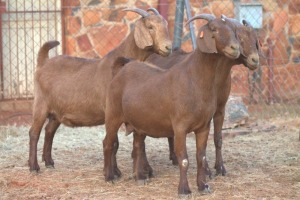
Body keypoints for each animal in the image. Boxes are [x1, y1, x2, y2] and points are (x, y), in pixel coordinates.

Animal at [29, 7, 172, 171]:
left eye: (166, 25)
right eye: (150, 27)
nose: (168, 47)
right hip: (40, 104)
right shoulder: (111, 111)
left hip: (56, 112)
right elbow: (114, 143)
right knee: (34, 133)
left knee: (49, 131)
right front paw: (114, 171)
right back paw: (34, 166)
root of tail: (43, 62)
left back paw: (49, 162)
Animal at [103, 14, 241, 195]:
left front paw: (203, 186)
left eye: (233, 29)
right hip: (113, 114)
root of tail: (121, 70)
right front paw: (184, 190)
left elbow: (201, 157)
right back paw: (109, 177)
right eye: (214, 29)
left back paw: (140, 177)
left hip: (139, 122)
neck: (194, 78)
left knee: (138, 146)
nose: (235, 48)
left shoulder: (204, 126)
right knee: (108, 142)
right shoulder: (180, 126)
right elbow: (183, 159)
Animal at [145, 14, 260, 177]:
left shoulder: (220, 109)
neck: (217, 78)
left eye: (255, 39)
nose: (255, 60)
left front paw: (220, 168)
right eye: (240, 38)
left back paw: (173, 158)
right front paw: (207, 171)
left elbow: (217, 138)